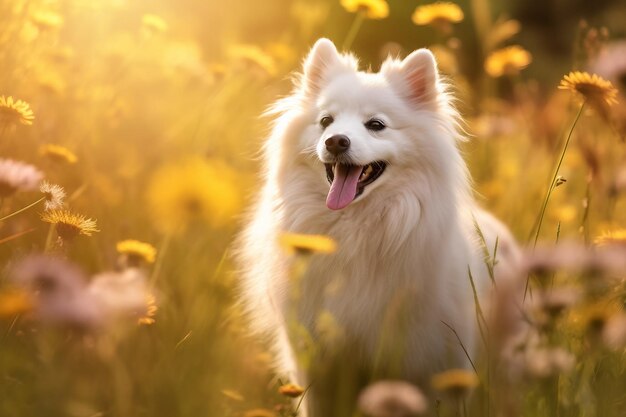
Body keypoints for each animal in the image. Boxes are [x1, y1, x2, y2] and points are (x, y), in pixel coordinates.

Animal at [236, 38, 520, 412]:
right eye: (326, 120)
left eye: (376, 125)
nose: (336, 140)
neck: (356, 229)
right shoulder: (320, 371)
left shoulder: (433, 368)